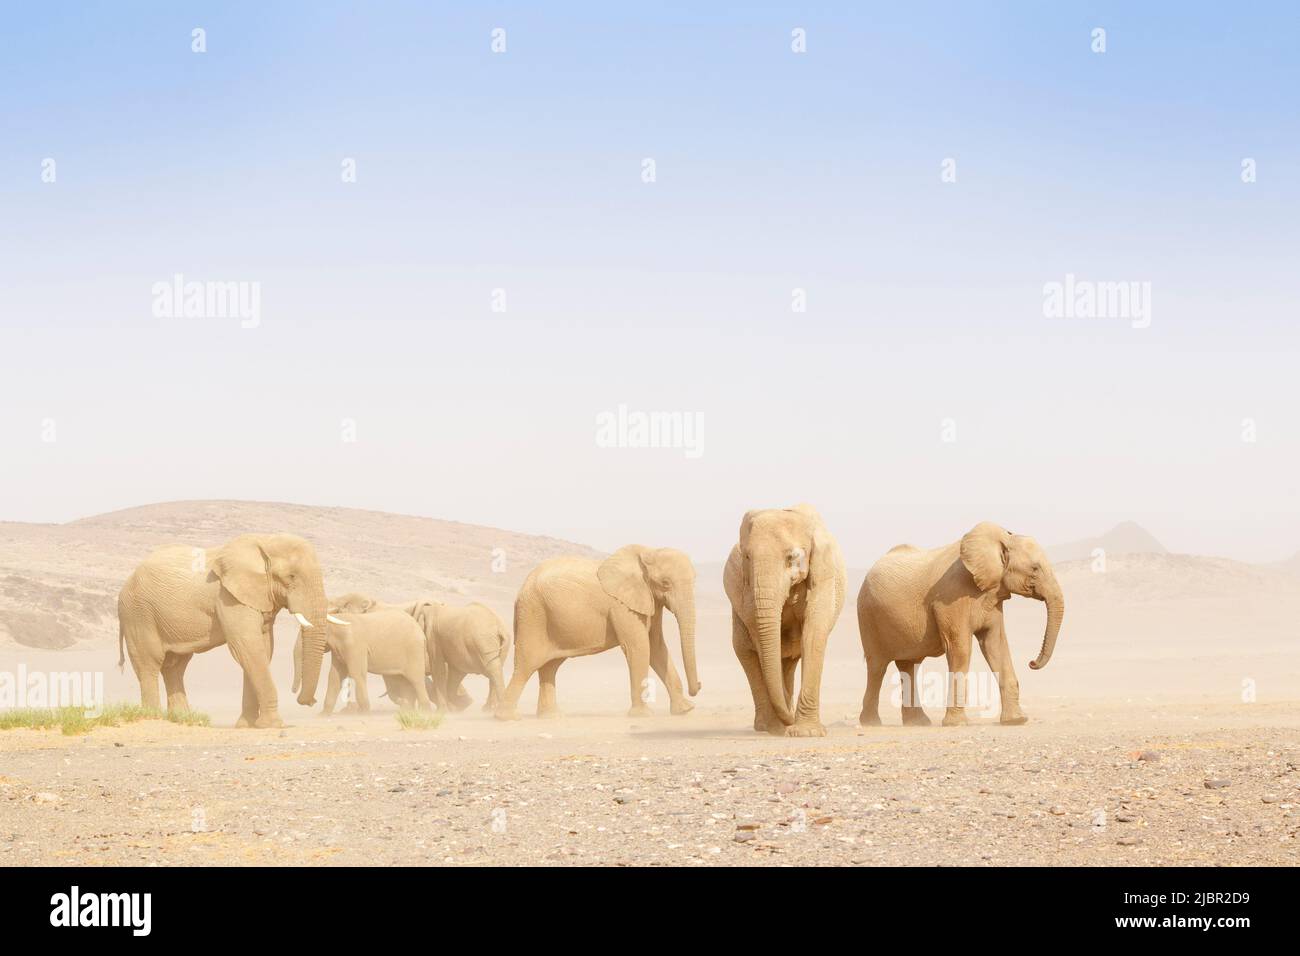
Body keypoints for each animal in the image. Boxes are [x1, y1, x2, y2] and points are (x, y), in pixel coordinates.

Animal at [115, 535, 345, 728]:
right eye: (291, 576)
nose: (309, 701)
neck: (265, 541)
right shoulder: (228, 596)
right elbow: (246, 646)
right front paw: (272, 725)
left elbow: (262, 649)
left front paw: (246, 726)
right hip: (138, 614)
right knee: (149, 663)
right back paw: (153, 718)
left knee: (175, 666)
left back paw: (183, 720)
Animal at [289, 608, 431, 712]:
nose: (312, 701)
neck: (338, 619)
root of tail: (421, 633)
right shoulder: (339, 649)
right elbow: (335, 676)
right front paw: (323, 715)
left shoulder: (355, 646)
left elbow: (356, 673)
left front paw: (365, 713)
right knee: (404, 681)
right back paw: (408, 709)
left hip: (413, 651)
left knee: (416, 679)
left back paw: (425, 711)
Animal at [493, 546, 702, 717]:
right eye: (665, 583)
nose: (698, 686)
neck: (647, 551)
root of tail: (520, 589)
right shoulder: (621, 605)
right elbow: (639, 647)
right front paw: (643, 715)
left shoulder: (650, 601)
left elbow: (656, 646)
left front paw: (685, 710)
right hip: (532, 616)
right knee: (526, 665)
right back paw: (507, 717)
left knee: (550, 666)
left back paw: (552, 716)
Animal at [722, 504, 842, 738]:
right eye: (747, 557)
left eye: (790, 557)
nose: (789, 721)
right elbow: (761, 641)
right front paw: (786, 727)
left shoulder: (823, 572)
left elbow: (813, 633)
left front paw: (807, 732)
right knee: (746, 653)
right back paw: (768, 726)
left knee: (787, 662)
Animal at [852, 522, 1066, 723]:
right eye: (1035, 569)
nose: (1032, 663)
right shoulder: (951, 598)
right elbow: (960, 648)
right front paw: (956, 723)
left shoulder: (993, 598)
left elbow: (995, 645)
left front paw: (1016, 721)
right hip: (867, 616)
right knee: (877, 667)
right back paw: (872, 723)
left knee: (909, 667)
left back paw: (919, 723)